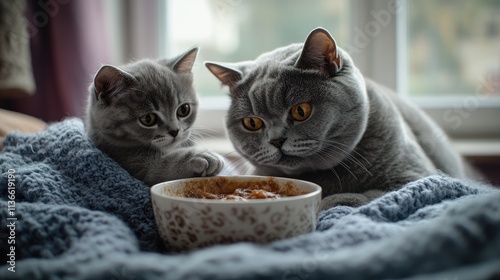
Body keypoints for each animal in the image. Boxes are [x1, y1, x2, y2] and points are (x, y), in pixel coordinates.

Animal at [85, 47, 223, 185]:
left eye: (184, 110)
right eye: (148, 119)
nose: (175, 131)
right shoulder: (131, 163)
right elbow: (161, 166)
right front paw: (200, 156)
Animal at [205, 27, 478, 208]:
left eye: (300, 110)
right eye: (252, 123)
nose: (276, 140)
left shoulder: (418, 178)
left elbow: (366, 195)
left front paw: (331, 199)